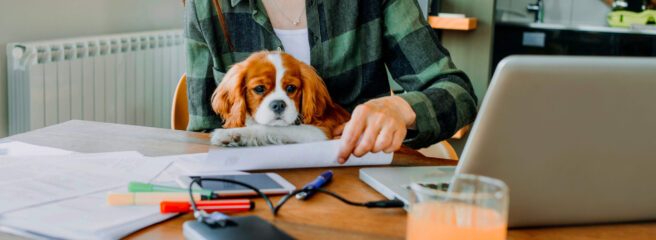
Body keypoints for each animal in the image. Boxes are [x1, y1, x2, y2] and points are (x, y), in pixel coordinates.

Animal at [213, 51, 352, 146]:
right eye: (259, 88)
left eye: (291, 88)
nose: (278, 104)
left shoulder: (320, 132)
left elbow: (271, 128)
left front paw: (232, 134)